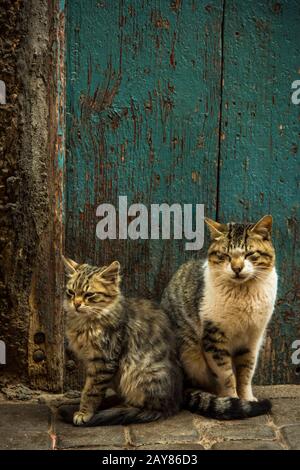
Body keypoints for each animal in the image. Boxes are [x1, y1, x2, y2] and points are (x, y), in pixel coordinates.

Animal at [62, 258, 182, 426]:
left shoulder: (103, 360)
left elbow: (91, 391)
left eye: (89, 294)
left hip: (137, 373)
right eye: (71, 292)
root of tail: (173, 404)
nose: (76, 304)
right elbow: (90, 388)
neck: (85, 323)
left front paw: (85, 412)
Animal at [162, 216, 276, 418]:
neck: (243, 293)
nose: (237, 268)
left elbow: (246, 373)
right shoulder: (213, 338)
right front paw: (233, 400)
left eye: (250, 254)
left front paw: (247, 398)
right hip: (190, 355)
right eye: (225, 255)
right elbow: (226, 376)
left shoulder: (253, 339)